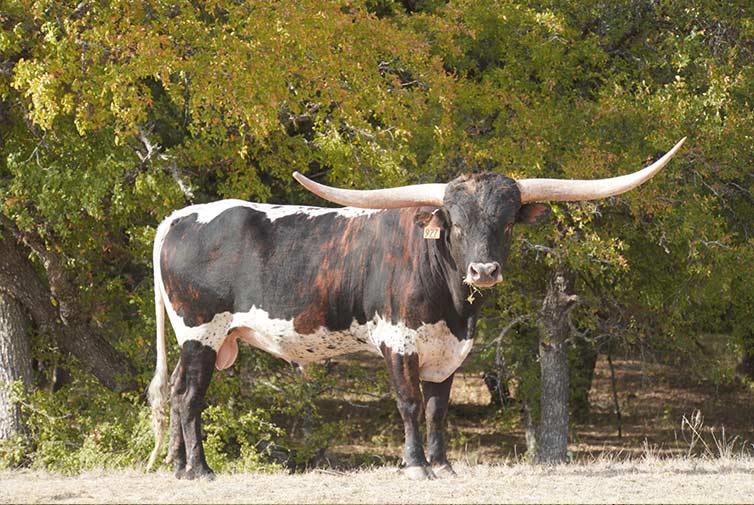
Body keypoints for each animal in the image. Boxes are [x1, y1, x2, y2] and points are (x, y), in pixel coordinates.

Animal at [145, 139, 680, 480]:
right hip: (201, 330)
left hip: (201, 338)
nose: (484, 270)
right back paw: (200, 471)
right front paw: (418, 465)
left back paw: (177, 467)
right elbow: (409, 403)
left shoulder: (449, 350)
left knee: (175, 391)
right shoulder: (398, 340)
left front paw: (443, 463)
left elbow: (439, 408)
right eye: (456, 225)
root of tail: (177, 217)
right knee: (189, 395)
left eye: (507, 223)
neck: (453, 303)